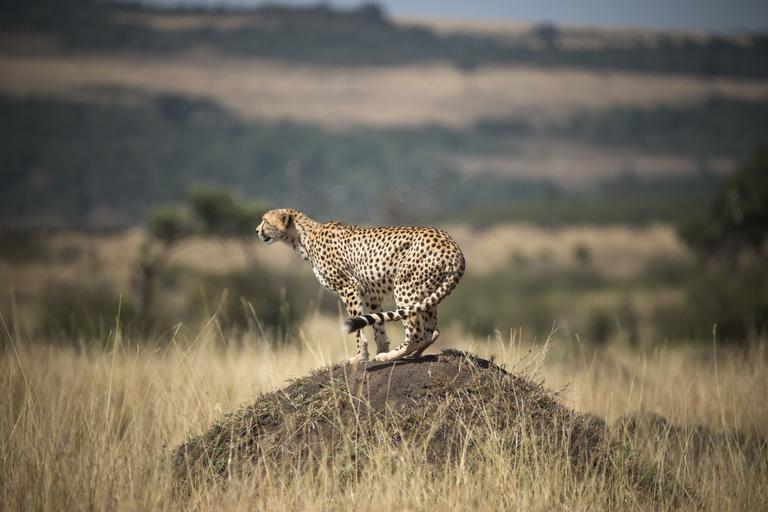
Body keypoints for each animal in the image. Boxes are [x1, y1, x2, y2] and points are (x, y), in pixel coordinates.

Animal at [256, 208, 465, 364]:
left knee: (416, 333)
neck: (305, 237)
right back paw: (411, 355)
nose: (257, 231)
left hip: (405, 289)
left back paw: (390, 356)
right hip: (427, 292)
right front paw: (378, 350)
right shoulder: (372, 296)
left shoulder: (349, 288)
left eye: (265, 221)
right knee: (432, 331)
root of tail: (453, 247)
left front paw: (360, 357)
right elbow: (378, 327)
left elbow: (358, 329)